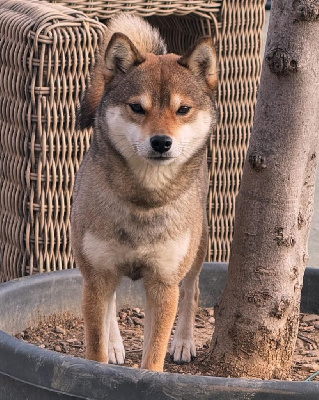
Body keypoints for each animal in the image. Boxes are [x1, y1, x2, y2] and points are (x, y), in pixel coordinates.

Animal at [71, 13, 219, 372]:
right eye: (137, 107)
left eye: (183, 109)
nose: (161, 142)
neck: (144, 199)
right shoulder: (97, 275)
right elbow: (95, 346)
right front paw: (105, 353)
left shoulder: (163, 284)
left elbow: (153, 356)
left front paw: (162, 357)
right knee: (110, 304)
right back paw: (115, 344)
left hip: (198, 248)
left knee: (192, 292)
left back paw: (183, 342)